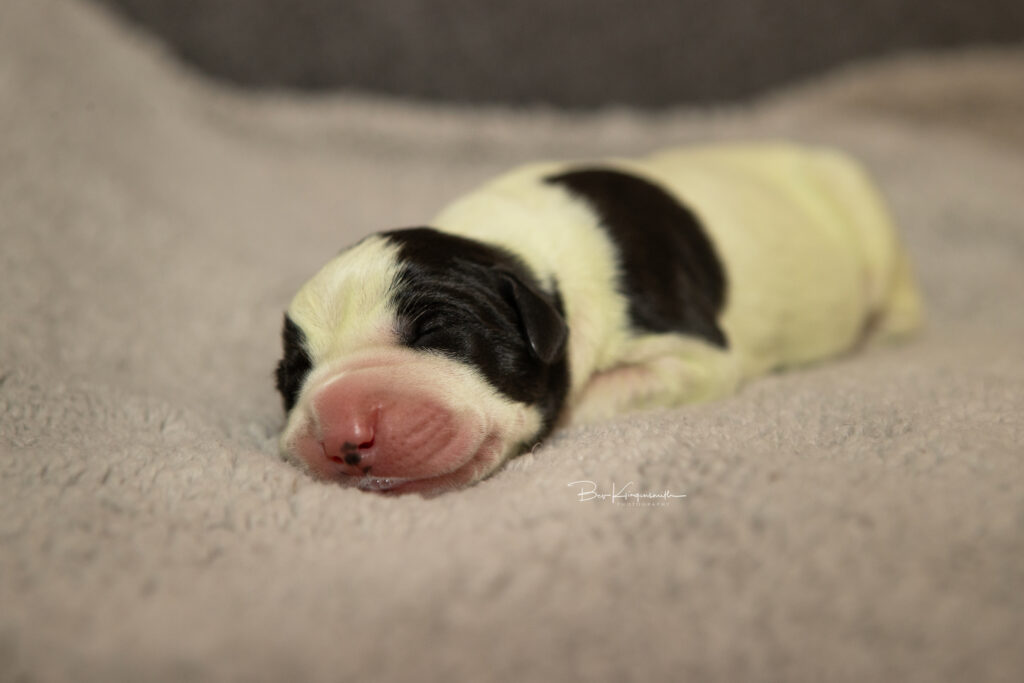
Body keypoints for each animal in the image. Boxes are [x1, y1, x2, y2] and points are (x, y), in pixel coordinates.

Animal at [276, 145, 925, 497]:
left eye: (436, 330)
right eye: (290, 377)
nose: (342, 436)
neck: (516, 254)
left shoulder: (695, 356)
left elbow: (595, 397)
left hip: (867, 216)